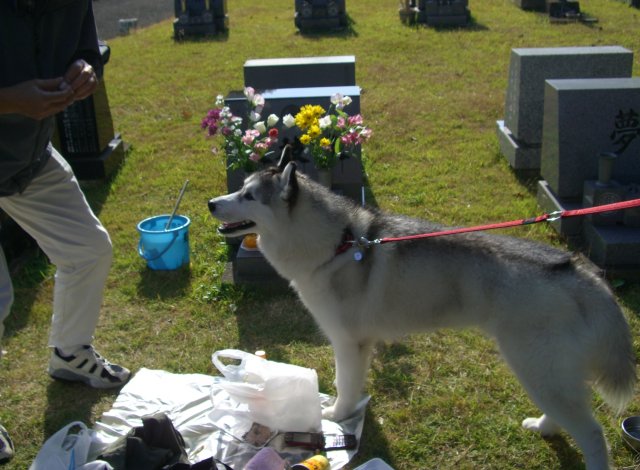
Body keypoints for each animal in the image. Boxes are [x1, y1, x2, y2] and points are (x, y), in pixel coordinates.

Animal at [208, 150, 636, 469]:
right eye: (240, 188)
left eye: (249, 196)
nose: (212, 203)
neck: (336, 244)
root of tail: (578, 267)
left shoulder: (348, 343)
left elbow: (346, 386)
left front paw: (335, 415)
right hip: (550, 373)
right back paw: (545, 427)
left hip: (538, 368)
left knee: (593, 433)